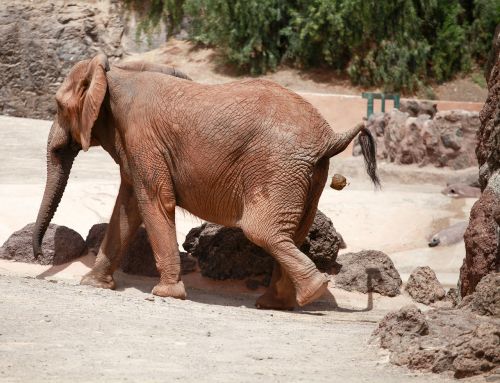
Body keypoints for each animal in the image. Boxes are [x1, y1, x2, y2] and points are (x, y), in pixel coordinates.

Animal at [32, 54, 378, 310]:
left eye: (59, 106)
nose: (37, 256)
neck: (114, 73)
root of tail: (331, 136)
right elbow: (128, 208)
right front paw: (93, 284)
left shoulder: (143, 137)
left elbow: (153, 200)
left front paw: (165, 294)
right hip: (308, 174)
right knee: (294, 231)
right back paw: (276, 303)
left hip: (277, 167)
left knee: (261, 230)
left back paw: (311, 293)